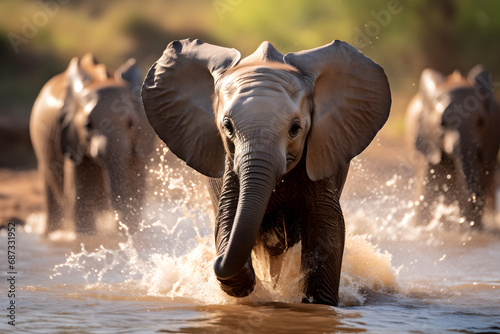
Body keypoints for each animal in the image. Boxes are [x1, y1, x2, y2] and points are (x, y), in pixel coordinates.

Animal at [30, 52, 155, 235]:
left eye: (131, 124)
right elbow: (82, 200)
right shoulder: (73, 143)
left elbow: (136, 196)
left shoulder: (139, 145)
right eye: (88, 125)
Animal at [141, 38, 390, 306]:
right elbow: (227, 215)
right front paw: (246, 280)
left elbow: (328, 225)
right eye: (227, 127)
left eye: (295, 129)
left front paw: (318, 304)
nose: (215, 261)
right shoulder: (230, 164)